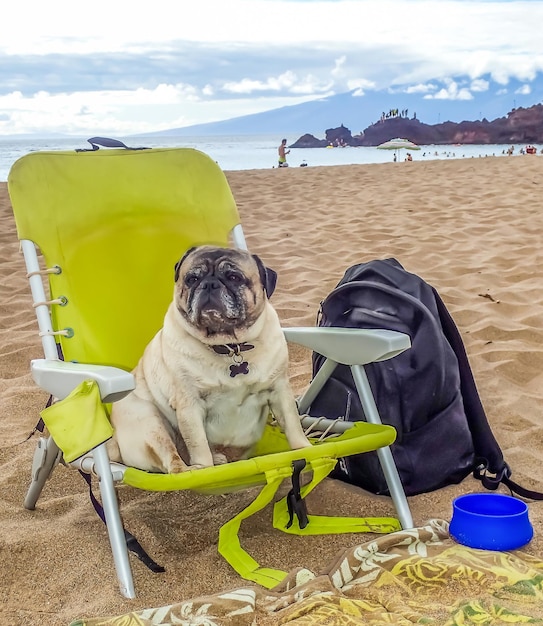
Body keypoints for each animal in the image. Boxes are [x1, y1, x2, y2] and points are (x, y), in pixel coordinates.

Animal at [108, 244, 312, 472]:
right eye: (192, 279)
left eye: (234, 277)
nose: (209, 284)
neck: (230, 347)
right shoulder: (190, 405)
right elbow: (199, 445)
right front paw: (204, 468)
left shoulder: (279, 390)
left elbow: (293, 425)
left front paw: (304, 449)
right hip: (150, 422)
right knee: (174, 464)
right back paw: (194, 469)